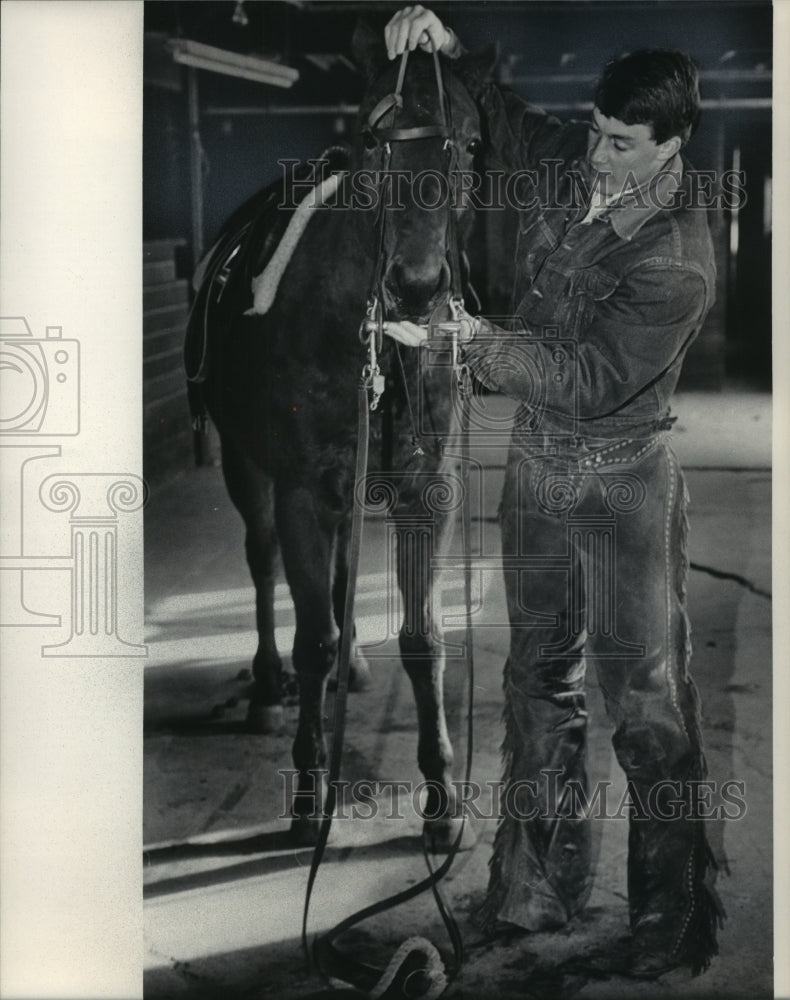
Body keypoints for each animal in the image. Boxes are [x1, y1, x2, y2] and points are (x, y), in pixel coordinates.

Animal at [188, 23, 492, 848]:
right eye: (368, 139)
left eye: (469, 142)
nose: (416, 285)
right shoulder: (297, 490)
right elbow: (311, 638)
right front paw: (308, 789)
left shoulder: (428, 493)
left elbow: (424, 638)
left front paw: (441, 796)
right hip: (249, 472)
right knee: (265, 567)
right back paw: (267, 687)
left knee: (344, 570)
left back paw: (353, 661)